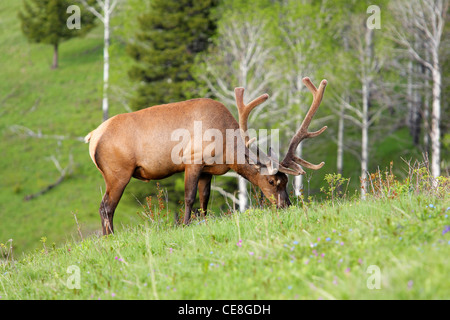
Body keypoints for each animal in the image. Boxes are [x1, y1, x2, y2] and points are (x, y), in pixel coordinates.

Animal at [86, 76, 328, 234]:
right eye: (271, 181)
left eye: (286, 180)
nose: (286, 205)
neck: (225, 149)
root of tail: (92, 137)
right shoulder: (192, 160)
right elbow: (189, 197)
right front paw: (184, 225)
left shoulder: (207, 170)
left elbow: (205, 199)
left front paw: (203, 221)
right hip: (118, 172)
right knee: (106, 207)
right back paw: (110, 238)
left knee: (105, 207)